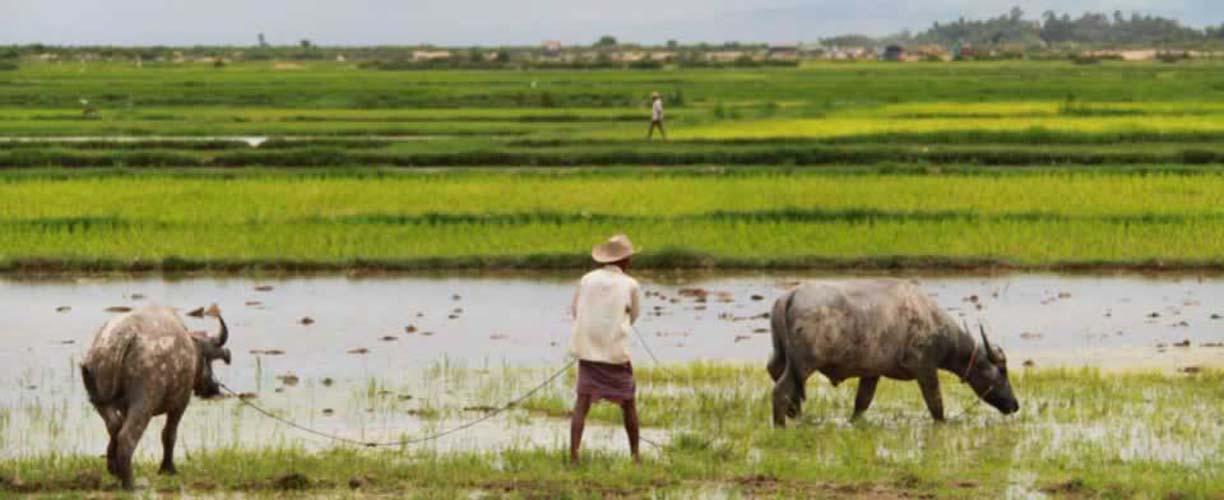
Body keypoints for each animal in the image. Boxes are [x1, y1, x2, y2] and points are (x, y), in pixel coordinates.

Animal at [79, 305, 231, 487]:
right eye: (210, 360)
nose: (214, 389)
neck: (191, 348)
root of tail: (121, 340)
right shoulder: (180, 403)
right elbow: (169, 434)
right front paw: (167, 469)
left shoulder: (124, 409)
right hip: (143, 403)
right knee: (127, 437)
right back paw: (130, 484)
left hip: (100, 400)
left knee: (114, 426)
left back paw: (117, 470)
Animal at [768, 279, 1018, 428]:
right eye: (1002, 371)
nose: (1015, 405)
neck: (931, 320)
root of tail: (789, 296)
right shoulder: (926, 369)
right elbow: (936, 405)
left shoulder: (871, 373)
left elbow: (862, 404)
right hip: (804, 364)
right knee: (781, 390)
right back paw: (781, 425)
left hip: (782, 358)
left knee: (779, 379)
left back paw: (795, 416)